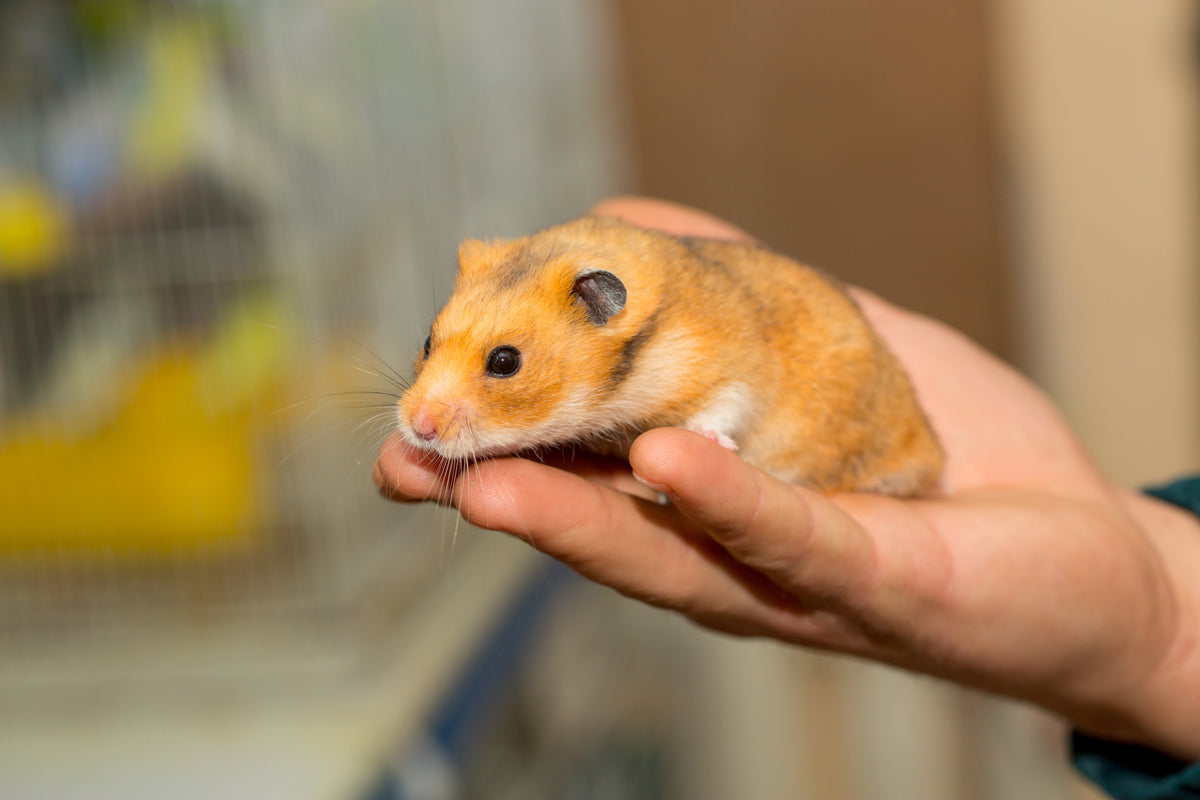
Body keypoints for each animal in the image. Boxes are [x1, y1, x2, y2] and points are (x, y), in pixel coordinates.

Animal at [397, 215, 943, 496]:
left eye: (505, 362)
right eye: (426, 342)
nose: (416, 429)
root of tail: (932, 450)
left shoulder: (733, 372)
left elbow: (723, 408)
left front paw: (704, 444)